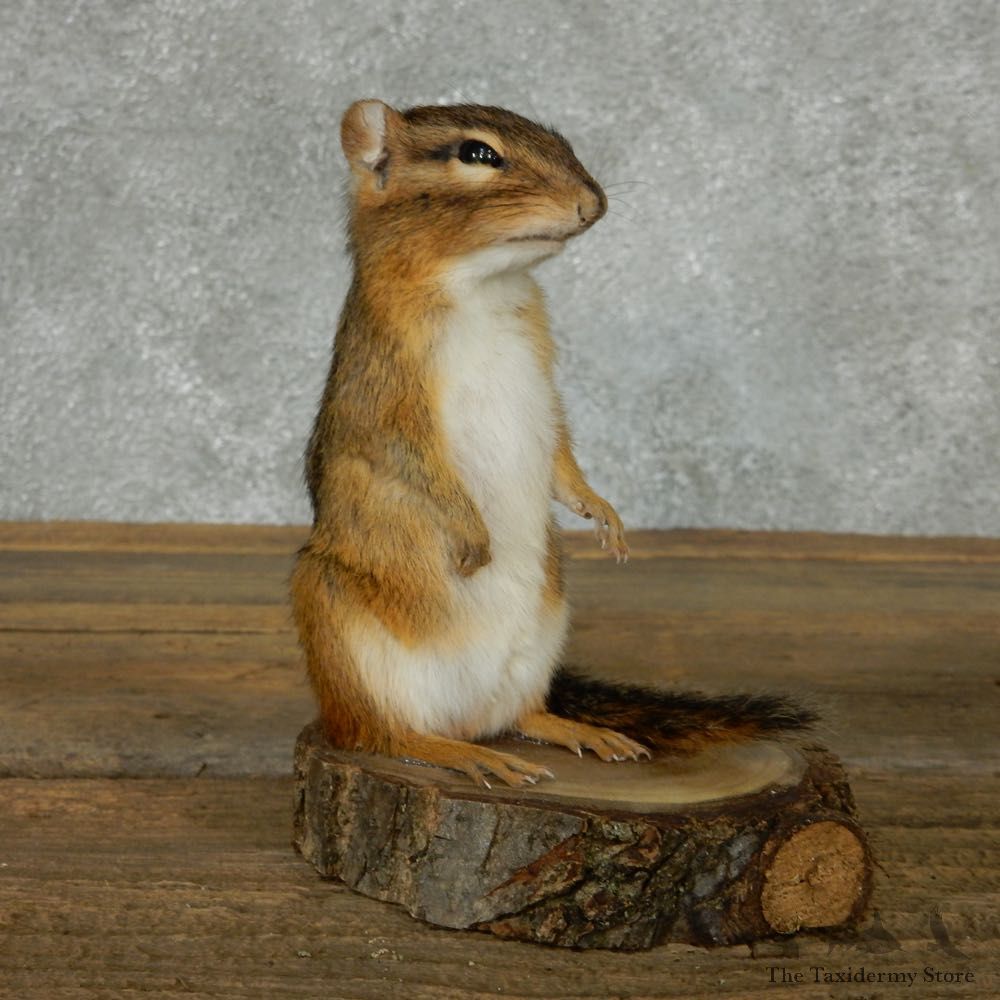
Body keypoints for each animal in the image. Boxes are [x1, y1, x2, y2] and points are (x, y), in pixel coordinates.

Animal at [290, 99, 815, 788]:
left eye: (560, 139)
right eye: (477, 154)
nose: (593, 203)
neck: (483, 288)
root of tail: (463, 716)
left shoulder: (546, 376)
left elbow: (563, 448)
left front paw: (600, 509)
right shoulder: (383, 396)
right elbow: (414, 464)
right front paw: (472, 535)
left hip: (545, 633)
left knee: (518, 715)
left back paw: (578, 732)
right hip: (338, 628)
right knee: (380, 733)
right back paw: (464, 755)